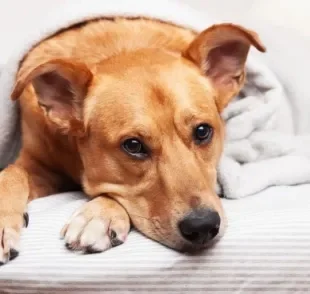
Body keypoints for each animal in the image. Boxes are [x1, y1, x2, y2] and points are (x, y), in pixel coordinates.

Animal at [0, 16, 266, 264]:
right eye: (133, 145)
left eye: (202, 131)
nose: (203, 227)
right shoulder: (38, 164)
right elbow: (11, 173)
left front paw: (100, 213)